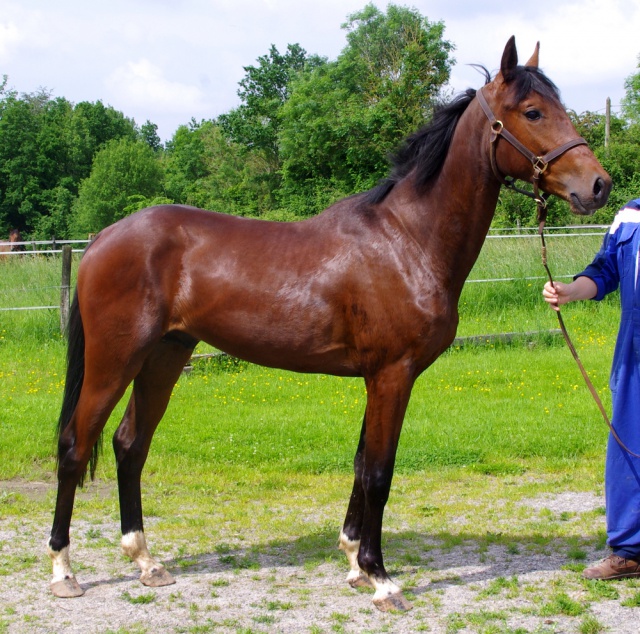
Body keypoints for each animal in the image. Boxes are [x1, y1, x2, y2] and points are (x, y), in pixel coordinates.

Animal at [48, 37, 608, 608]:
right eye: (533, 111)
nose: (598, 185)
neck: (408, 239)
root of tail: (102, 238)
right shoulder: (392, 375)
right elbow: (380, 472)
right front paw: (381, 578)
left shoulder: (377, 378)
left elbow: (361, 464)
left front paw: (355, 561)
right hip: (115, 361)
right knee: (74, 445)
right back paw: (63, 571)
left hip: (164, 356)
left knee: (129, 444)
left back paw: (146, 561)